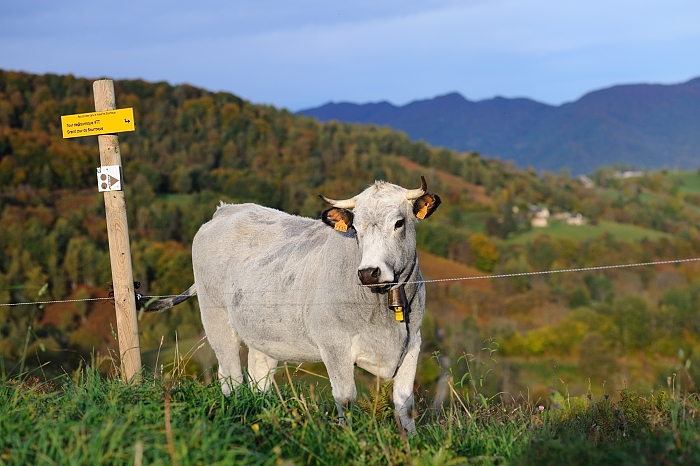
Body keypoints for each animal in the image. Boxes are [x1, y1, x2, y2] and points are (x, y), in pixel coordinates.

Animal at [141, 177, 441, 433]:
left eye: (399, 223)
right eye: (356, 228)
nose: (369, 272)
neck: (383, 311)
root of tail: (226, 210)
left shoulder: (413, 342)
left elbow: (405, 405)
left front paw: (410, 443)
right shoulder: (334, 344)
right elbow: (346, 400)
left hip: (262, 334)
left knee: (257, 379)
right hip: (216, 320)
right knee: (231, 377)